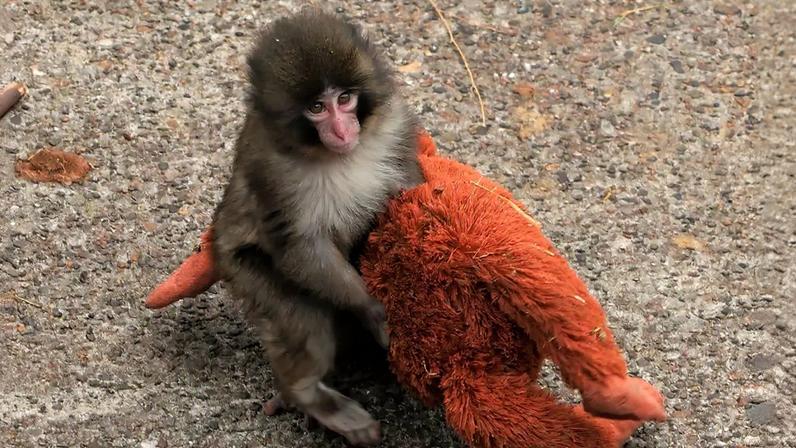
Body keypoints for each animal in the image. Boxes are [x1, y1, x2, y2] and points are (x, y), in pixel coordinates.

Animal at [211, 10, 424, 447]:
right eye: (315, 107)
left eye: (344, 99)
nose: (342, 131)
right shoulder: (271, 171)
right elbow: (299, 247)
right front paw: (372, 309)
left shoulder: (395, 127)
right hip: (242, 270)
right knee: (304, 319)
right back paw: (308, 395)